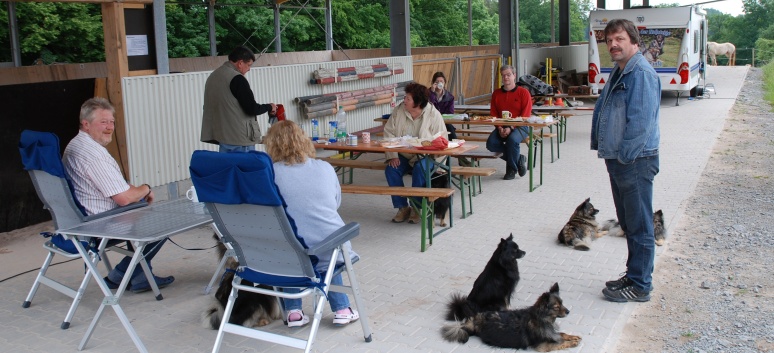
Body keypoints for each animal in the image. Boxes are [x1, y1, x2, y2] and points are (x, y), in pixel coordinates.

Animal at [442, 282, 584, 350]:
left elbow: (562, 334)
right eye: (556, 307)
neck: (542, 319)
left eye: (562, 303)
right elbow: (559, 343)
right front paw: (572, 342)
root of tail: (476, 321)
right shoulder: (543, 346)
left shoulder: (552, 333)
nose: (568, 311)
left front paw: (572, 336)